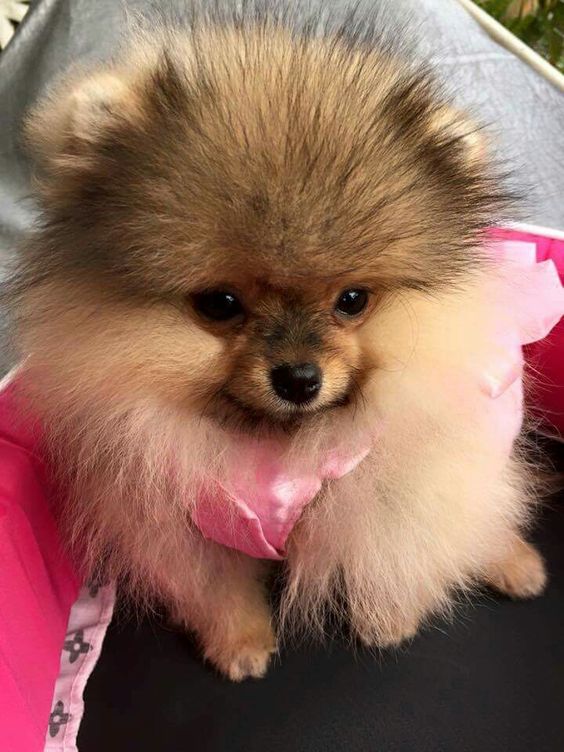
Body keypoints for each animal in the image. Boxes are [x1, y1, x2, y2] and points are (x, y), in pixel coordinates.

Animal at [7, 2, 548, 680]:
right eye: (219, 303)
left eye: (353, 300)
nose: (298, 378)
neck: (275, 442)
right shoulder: (178, 521)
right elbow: (214, 586)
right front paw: (239, 642)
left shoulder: (394, 492)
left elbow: (388, 555)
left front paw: (386, 622)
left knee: (483, 520)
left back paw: (516, 563)